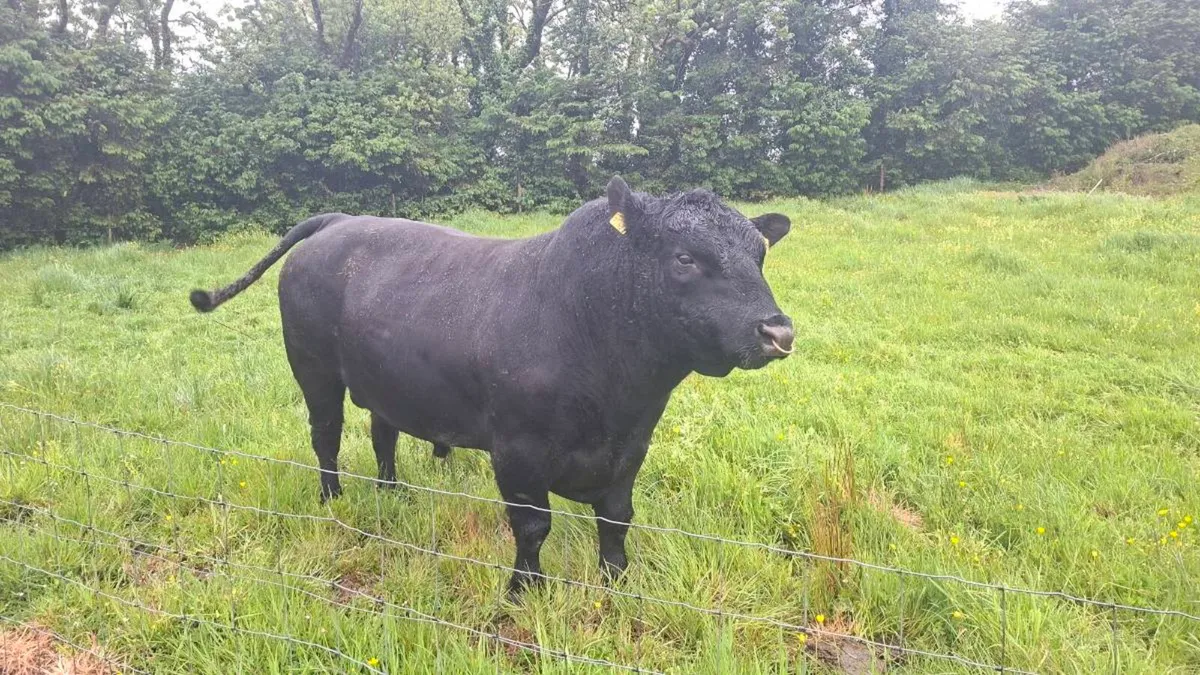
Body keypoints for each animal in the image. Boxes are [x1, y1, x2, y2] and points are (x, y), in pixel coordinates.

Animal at [189, 176, 794, 597]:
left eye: (761, 255)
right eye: (685, 257)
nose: (778, 331)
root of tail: (341, 220)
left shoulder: (631, 448)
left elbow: (616, 519)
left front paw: (617, 582)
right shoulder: (518, 452)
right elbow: (532, 527)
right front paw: (525, 590)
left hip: (387, 380)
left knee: (382, 433)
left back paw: (392, 491)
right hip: (314, 370)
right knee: (326, 435)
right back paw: (332, 499)